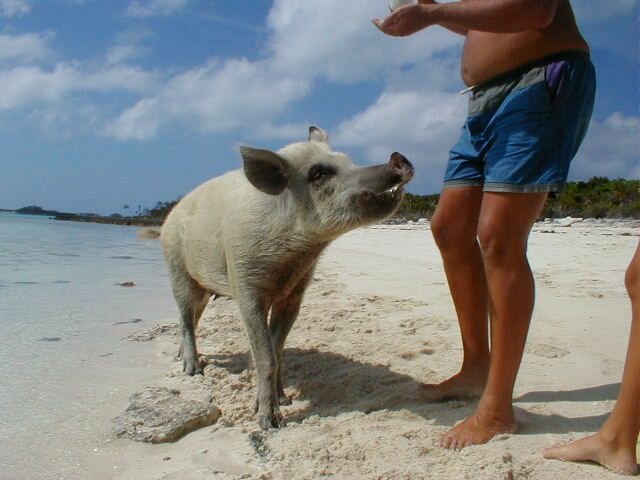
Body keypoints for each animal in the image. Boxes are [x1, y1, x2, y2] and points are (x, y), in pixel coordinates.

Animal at [158, 126, 412, 428]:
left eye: (348, 161)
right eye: (318, 173)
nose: (397, 158)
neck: (294, 255)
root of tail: (168, 218)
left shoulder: (294, 293)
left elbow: (278, 349)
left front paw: (286, 400)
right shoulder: (245, 284)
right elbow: (266, 355)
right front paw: (270, 422)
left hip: (203, 287)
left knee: (193, 317)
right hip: (177, 268)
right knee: (185, 317)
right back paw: (192, 370)